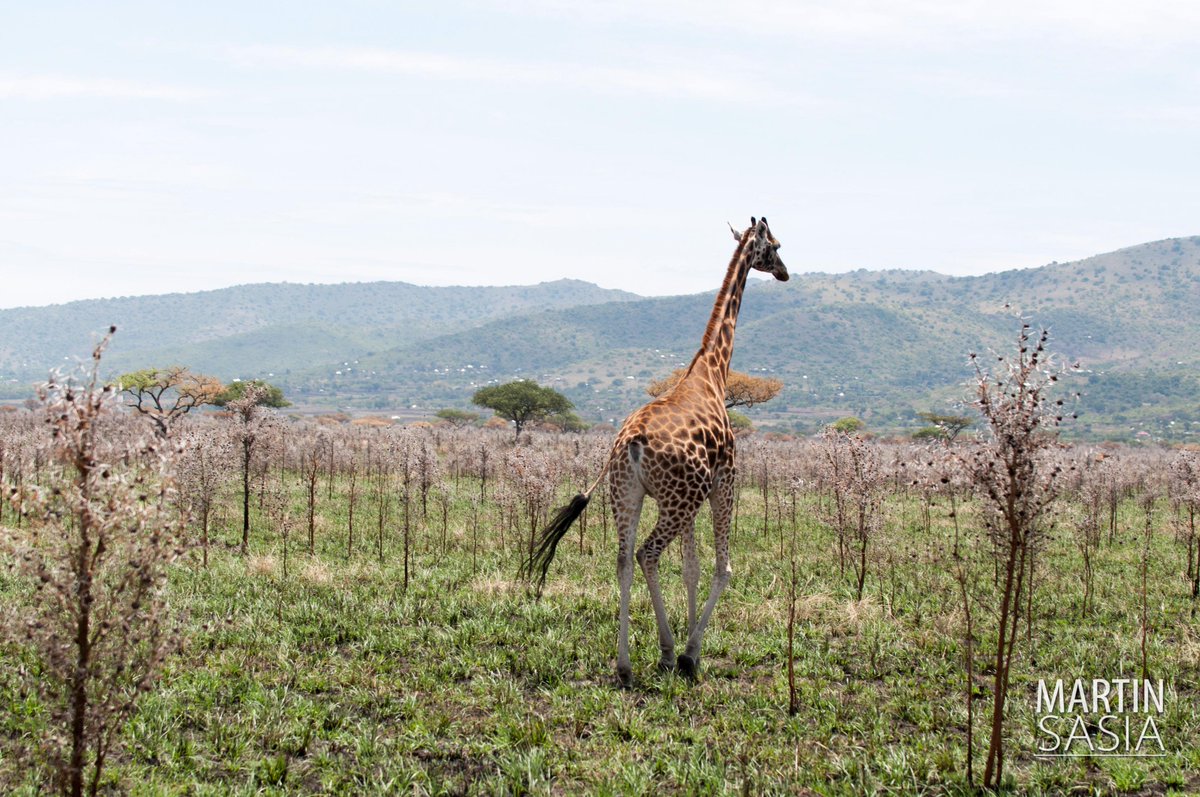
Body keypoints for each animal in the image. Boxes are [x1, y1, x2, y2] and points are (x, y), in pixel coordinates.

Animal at [523, 216, 788, 687]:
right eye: (774, 246)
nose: (785, 272)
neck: (713, 372)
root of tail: (628, 445)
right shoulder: (724, 480)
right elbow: (720, 567)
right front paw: (690, 652)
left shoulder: (692, 496)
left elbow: (690, 568)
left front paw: (685, 643)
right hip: (675, 499)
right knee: (648, 554)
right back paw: (666, 653)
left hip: (627, 494)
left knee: (624, 560)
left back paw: (625, 665)